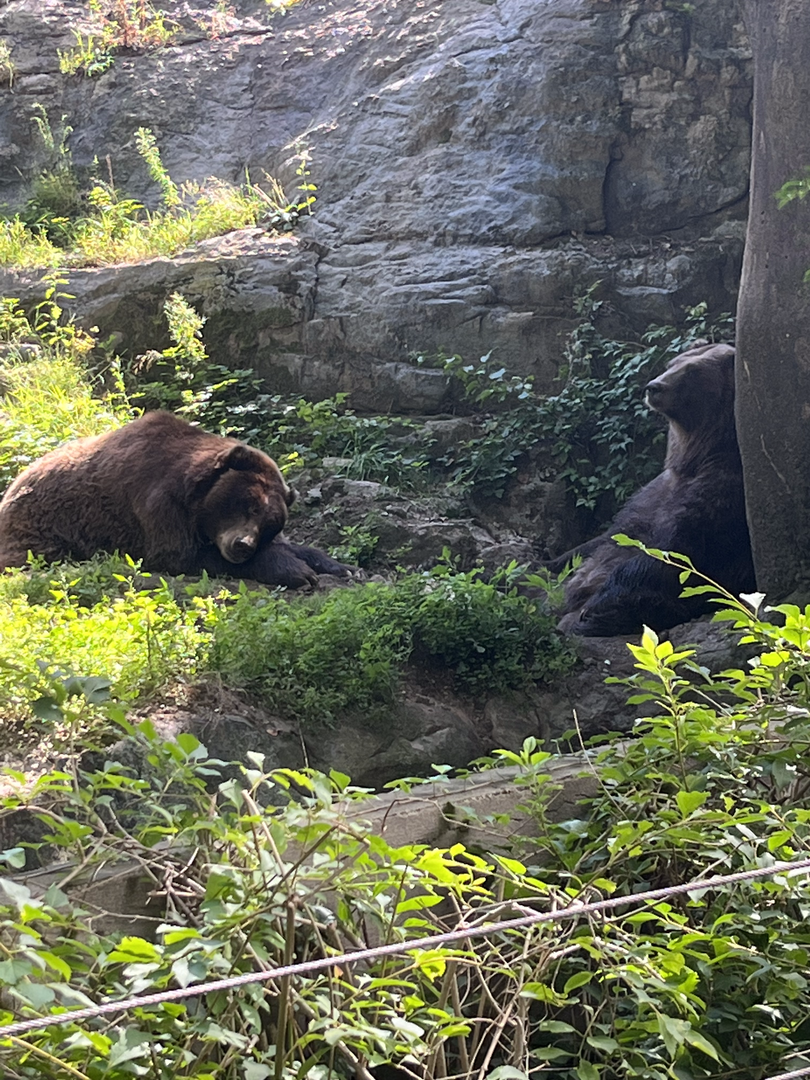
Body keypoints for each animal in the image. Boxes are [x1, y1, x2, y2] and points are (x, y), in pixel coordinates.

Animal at [0, 410, 349, 588]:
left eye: (271, 523)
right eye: (248, 504)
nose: (242, 545)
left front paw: (338, 565)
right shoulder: (157, 504)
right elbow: (181, 555)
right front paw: (297, 571)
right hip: (41, 529)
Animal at [545, 341, 755, 637]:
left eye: (693, 371)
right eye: (673, 363)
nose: (654, 386)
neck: (695, 455)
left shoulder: (723, 494)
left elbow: (675, 553)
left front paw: (592, 611)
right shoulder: (652, 495)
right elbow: (612, 535)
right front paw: (551, 561)